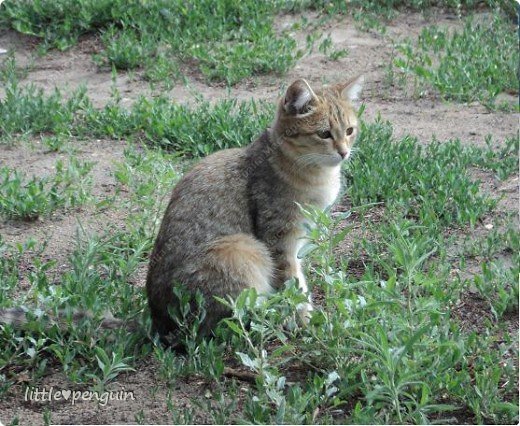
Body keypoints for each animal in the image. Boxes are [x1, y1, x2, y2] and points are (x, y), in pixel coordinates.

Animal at [144, 75, 364, 342]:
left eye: (350, 131)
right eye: (324, 134)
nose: (344, 152)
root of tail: (160, 323)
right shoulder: (280, 241)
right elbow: (292, 284)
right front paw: (304, 320)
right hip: (240, 248)